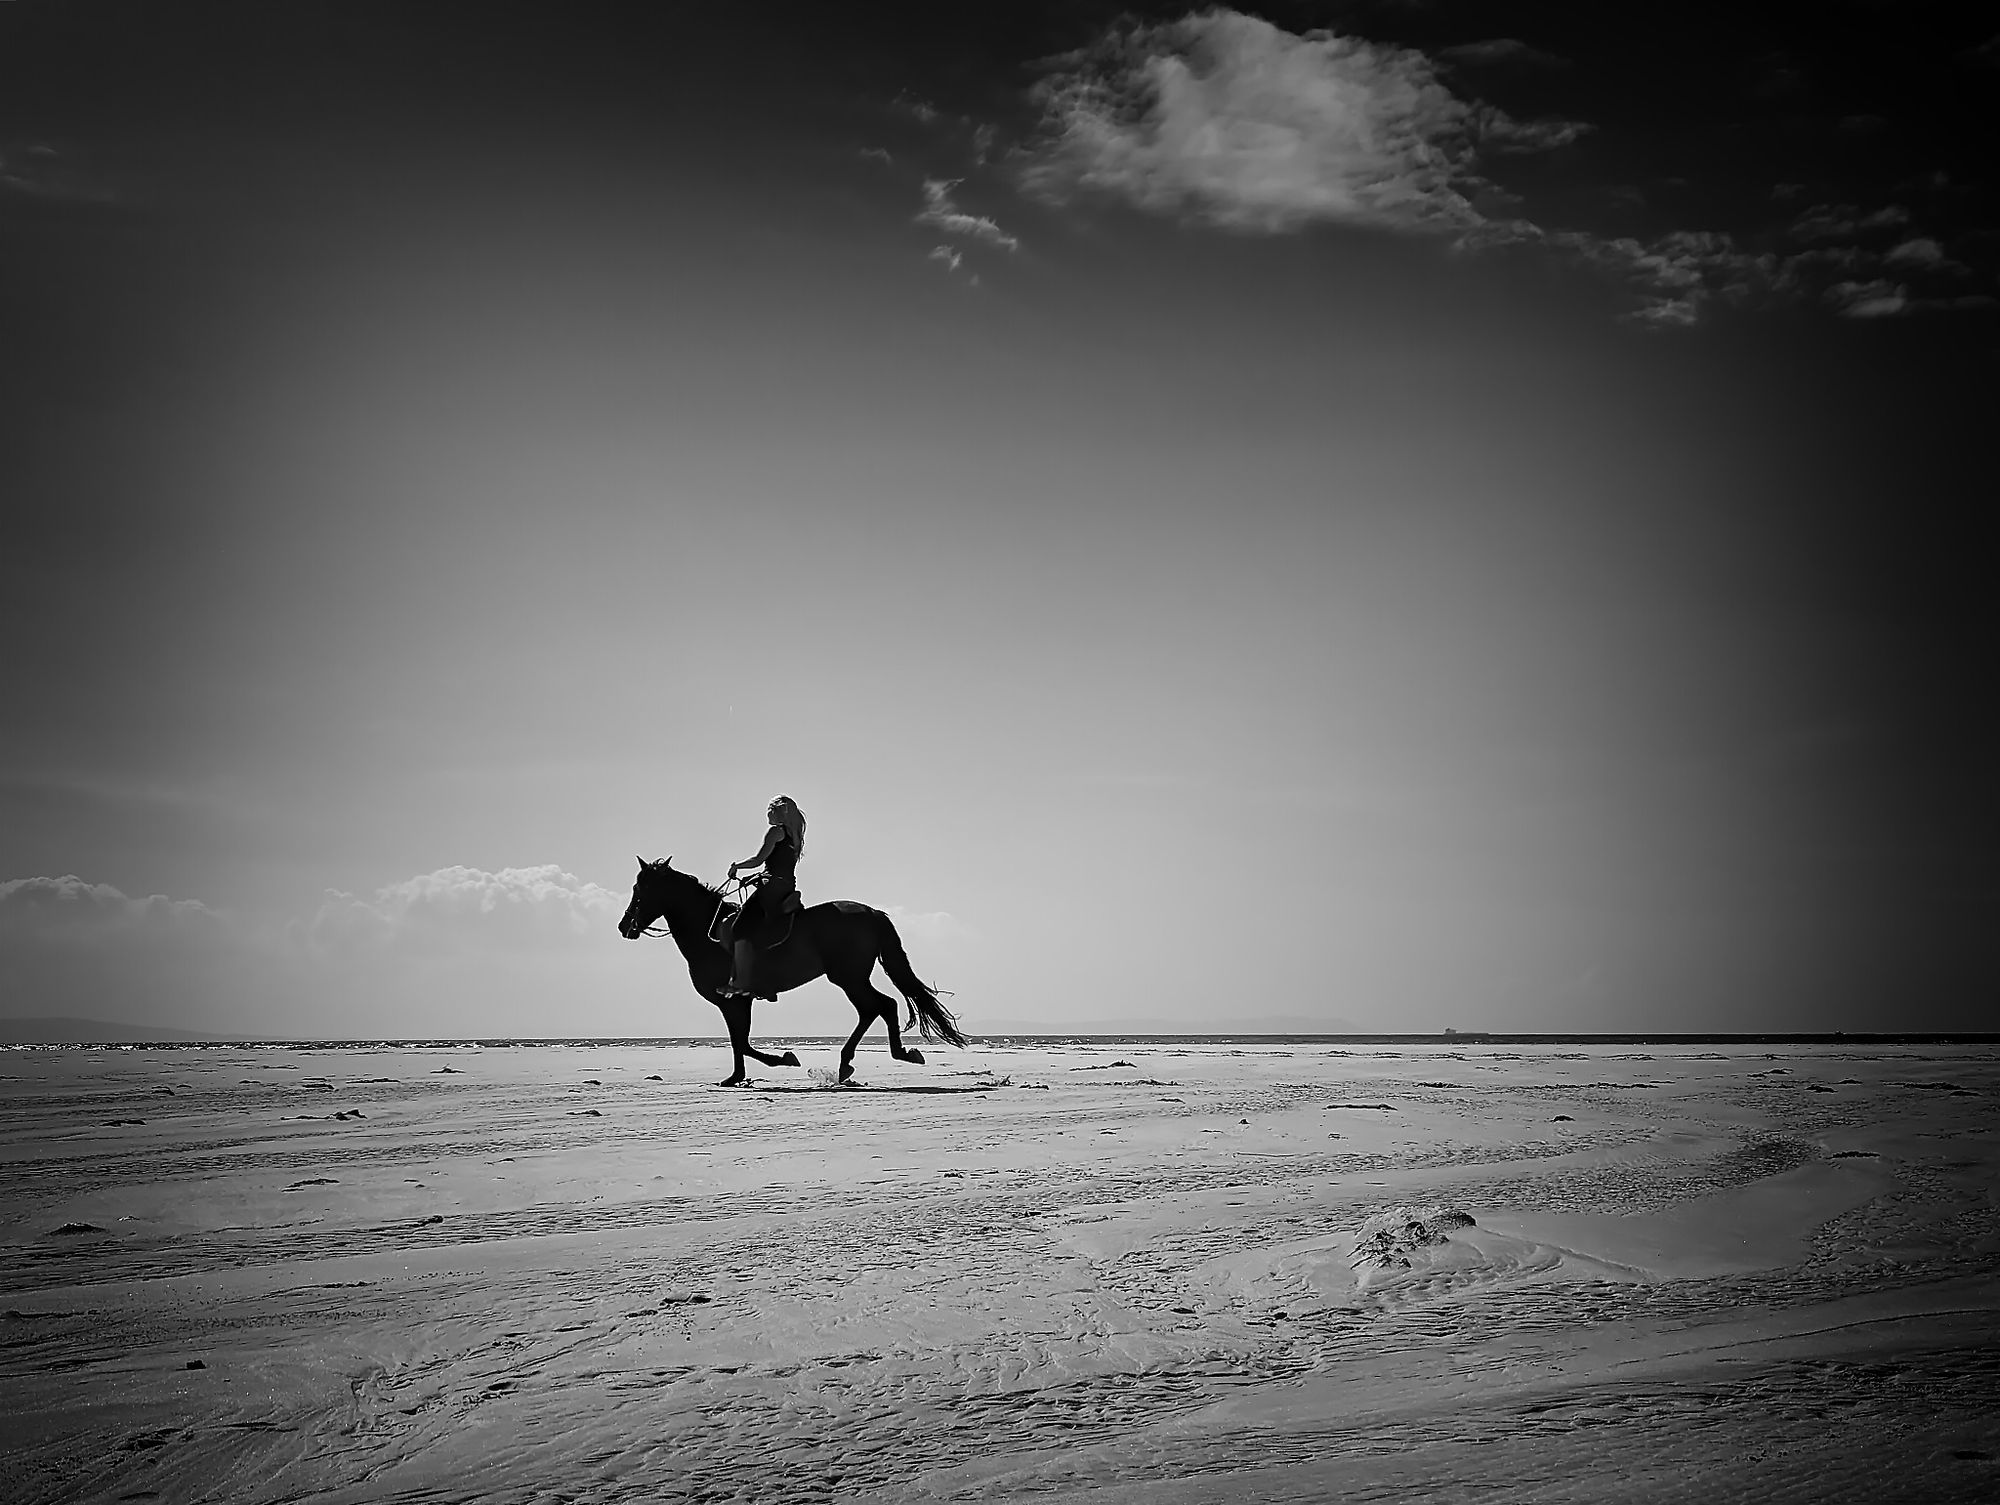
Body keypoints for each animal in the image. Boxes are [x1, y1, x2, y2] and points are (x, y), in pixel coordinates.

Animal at [620, 852, 972, 1088]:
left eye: (640, 890)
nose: (625, 926)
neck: (708, 931)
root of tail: (872, 912)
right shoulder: (735, 1002)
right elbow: (738, 1041)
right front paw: (737, 1077)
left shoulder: (735, 1000)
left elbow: (742, 1042)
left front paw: (781, 1060)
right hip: (850, 977)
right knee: (875, 1009)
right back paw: (854, 1063)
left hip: (848, 977)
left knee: (881, 1006)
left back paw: (885, 1056)